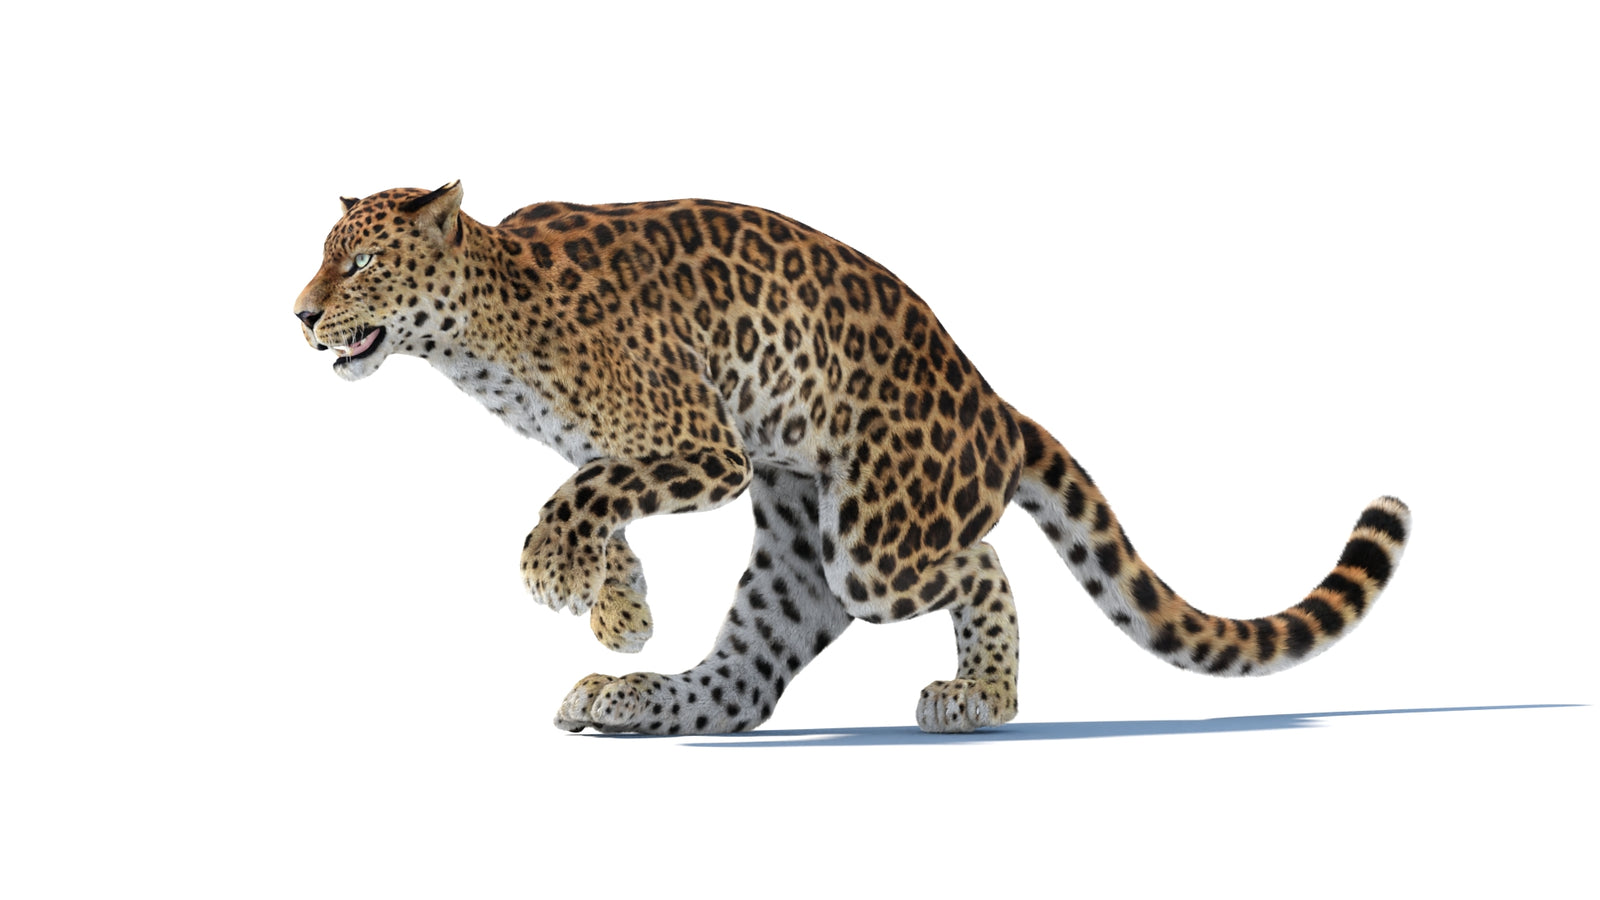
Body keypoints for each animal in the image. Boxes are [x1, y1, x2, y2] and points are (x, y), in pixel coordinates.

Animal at [294, 181, 1411, 735]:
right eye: (323, 257)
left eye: (361, 260)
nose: (300, 315)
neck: (477, 336)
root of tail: (994, 404)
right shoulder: (653, 451)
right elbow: (596, 501)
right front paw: (619, 611)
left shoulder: (703, 444)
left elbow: (584, 491)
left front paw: (555, 576)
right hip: (800, 551)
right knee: (746, 680)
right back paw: (631, 695)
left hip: (874, 543)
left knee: (981, 562)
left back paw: (979, 699)